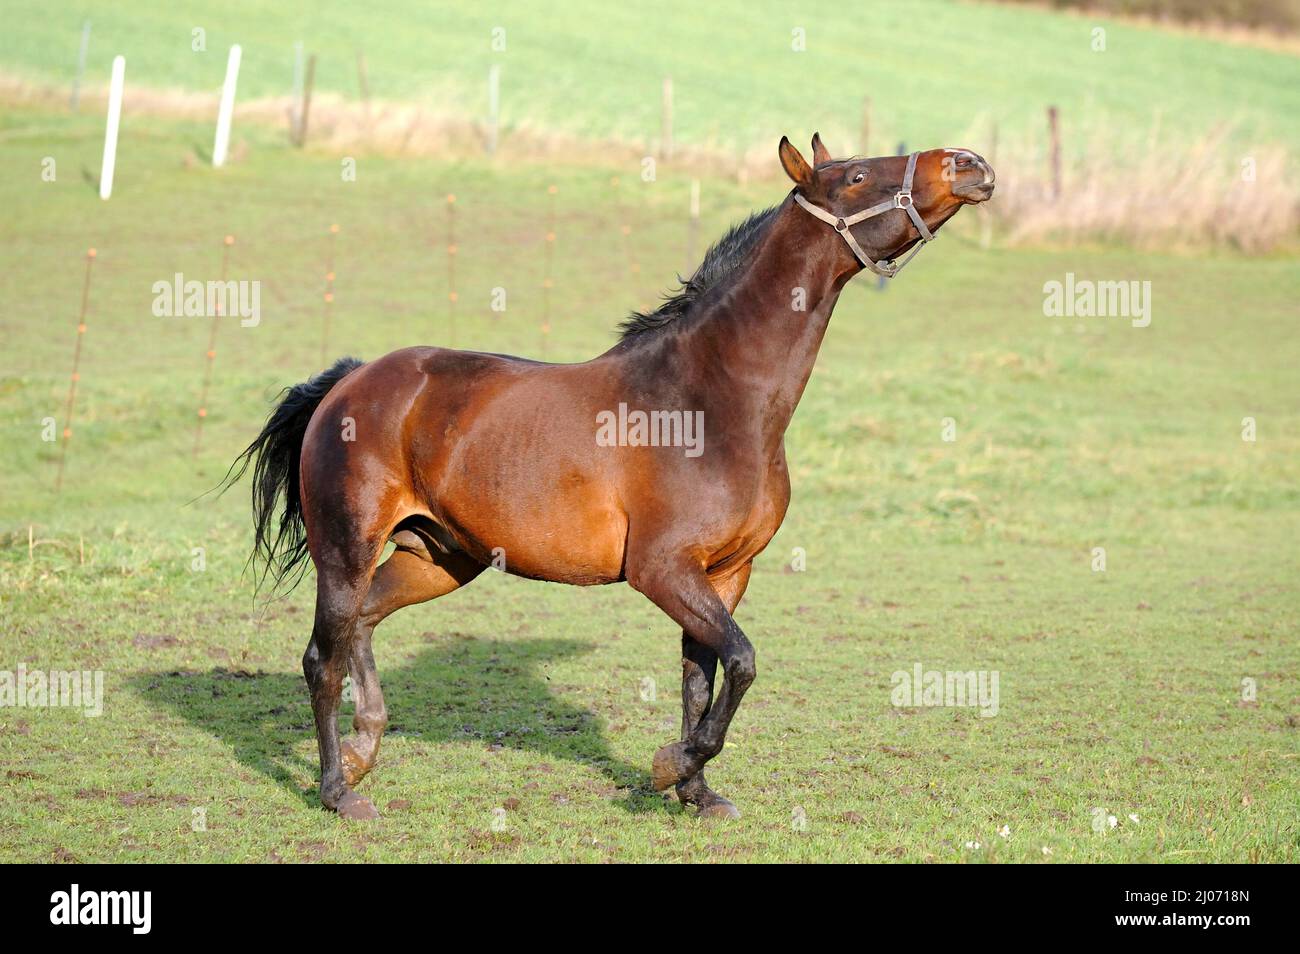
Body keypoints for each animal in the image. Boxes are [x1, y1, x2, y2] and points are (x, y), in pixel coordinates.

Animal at [228, 134, 993, 821]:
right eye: (858, 175)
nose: (970, 164)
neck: (709, 399)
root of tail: (350, 381)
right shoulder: (663, 570)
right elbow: (743, 662)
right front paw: (669, 768)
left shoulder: (723, 574)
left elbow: (703, 680)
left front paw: (698, 795)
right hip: (348, 550)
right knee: (321, 658)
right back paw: (339, 791)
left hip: (437, 558)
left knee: (361, 625)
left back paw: (365, 748)